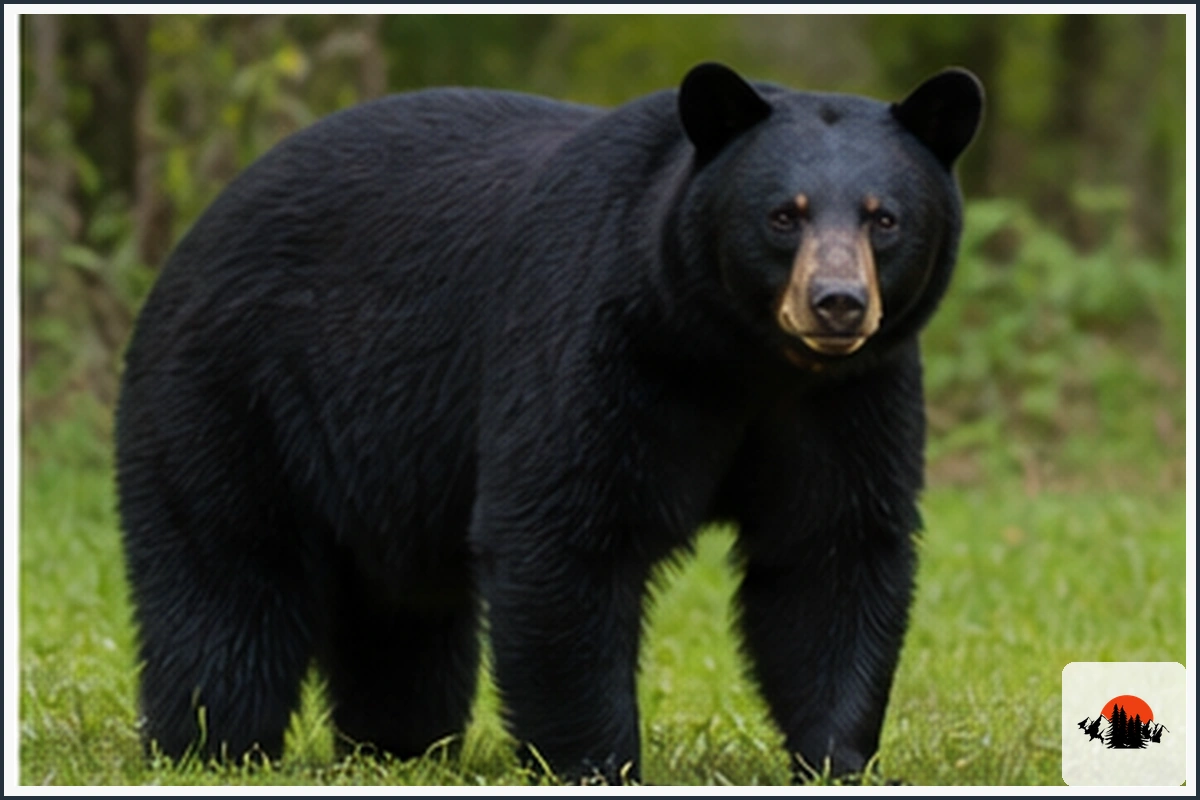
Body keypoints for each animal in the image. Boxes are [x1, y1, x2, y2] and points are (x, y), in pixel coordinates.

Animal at [115, 62, 983, 784]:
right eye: (783, 215)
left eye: (884, 219)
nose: (837, 303)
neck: (741, 354)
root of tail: (196, 229)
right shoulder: (599, 335)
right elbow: (564, 531)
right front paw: (598, 762)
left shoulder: (849, 397)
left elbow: (831, 551)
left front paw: (842, 759)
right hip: (236, 389)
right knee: (226, 573)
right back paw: (212, 743)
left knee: (399, 615)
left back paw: (397, 744)